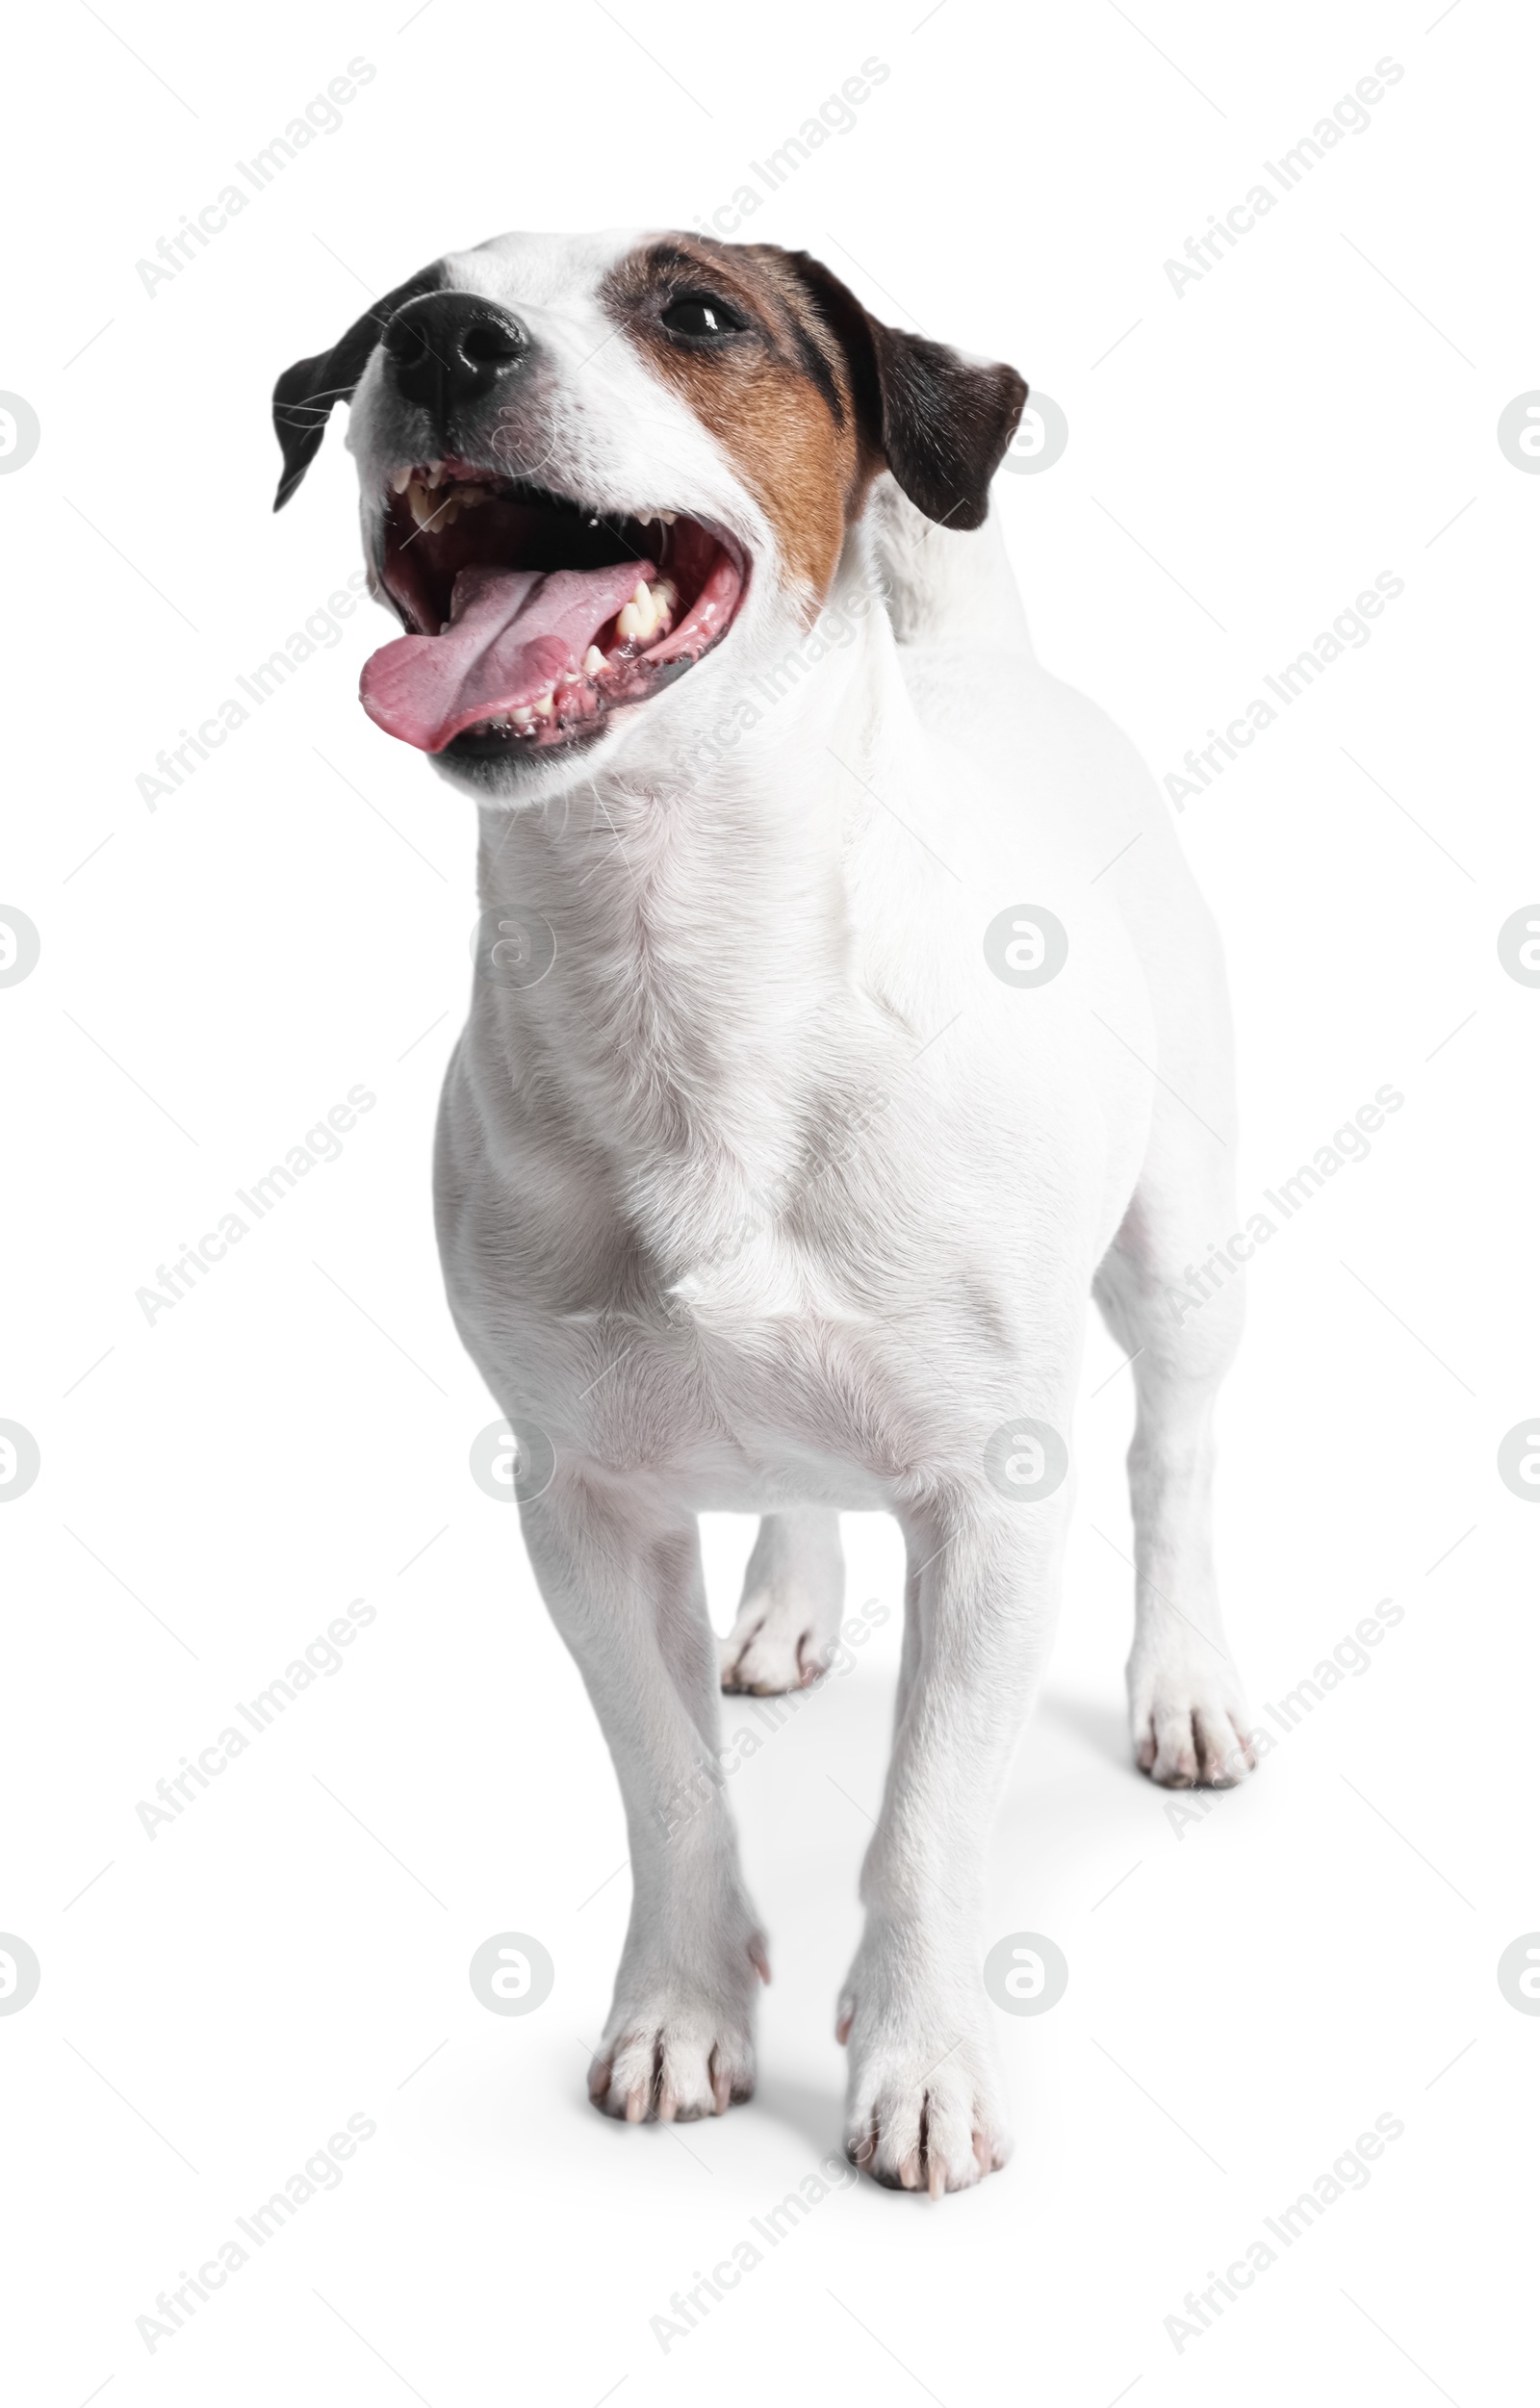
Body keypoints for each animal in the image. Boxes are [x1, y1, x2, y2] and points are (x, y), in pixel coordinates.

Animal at [274, 234, 1253, 2195]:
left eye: (700, 313)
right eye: (402, 305)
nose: (440, 341)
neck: (682, 953)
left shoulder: (994, 1498)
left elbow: (933, 1811)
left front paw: (923, 2060)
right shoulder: (578, 1501)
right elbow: (666, 1784)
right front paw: (678, 2011)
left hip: (1181, 1250)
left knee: (1175, 1459)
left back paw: (1183, 1682)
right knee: (799, 1486)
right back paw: (785, 1611)